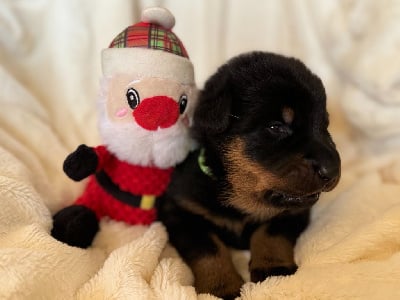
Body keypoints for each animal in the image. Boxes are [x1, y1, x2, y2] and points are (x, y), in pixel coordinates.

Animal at [158, 52, 340, 300]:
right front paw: (221, 286)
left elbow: (271, 232)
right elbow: (209, 249)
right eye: (276, 127)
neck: (241, 199)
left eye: (325, 125)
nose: (332, 171)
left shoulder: (294, 211)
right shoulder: (181, 210)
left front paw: (273, 268)